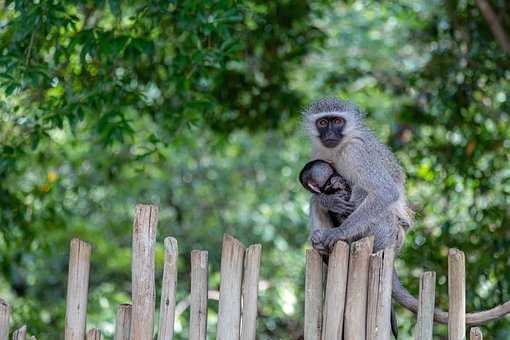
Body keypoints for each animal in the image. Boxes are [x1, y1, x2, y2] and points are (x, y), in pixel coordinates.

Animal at [302, 97, 510, 324]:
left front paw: (338, 232)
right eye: (323, 123)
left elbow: (385, 192)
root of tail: (392, 246)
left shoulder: (357, 152)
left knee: (365, 192)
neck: (339, 148)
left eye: (338, 121)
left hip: (382, 231)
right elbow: (315, 191)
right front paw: (328, 200)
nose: (330, 133)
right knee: (317, 201)